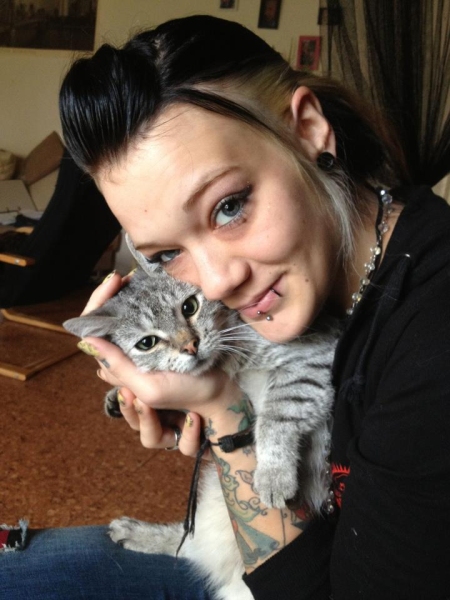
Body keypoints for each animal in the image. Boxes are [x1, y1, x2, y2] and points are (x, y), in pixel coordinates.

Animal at [64, 266, 340, 600]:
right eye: (147, 343)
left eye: (189, 307)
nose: (190, 346)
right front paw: (117, 398)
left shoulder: (313, 357)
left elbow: (277, 415)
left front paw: (274, 474)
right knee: (192, 542)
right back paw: (137, 533)